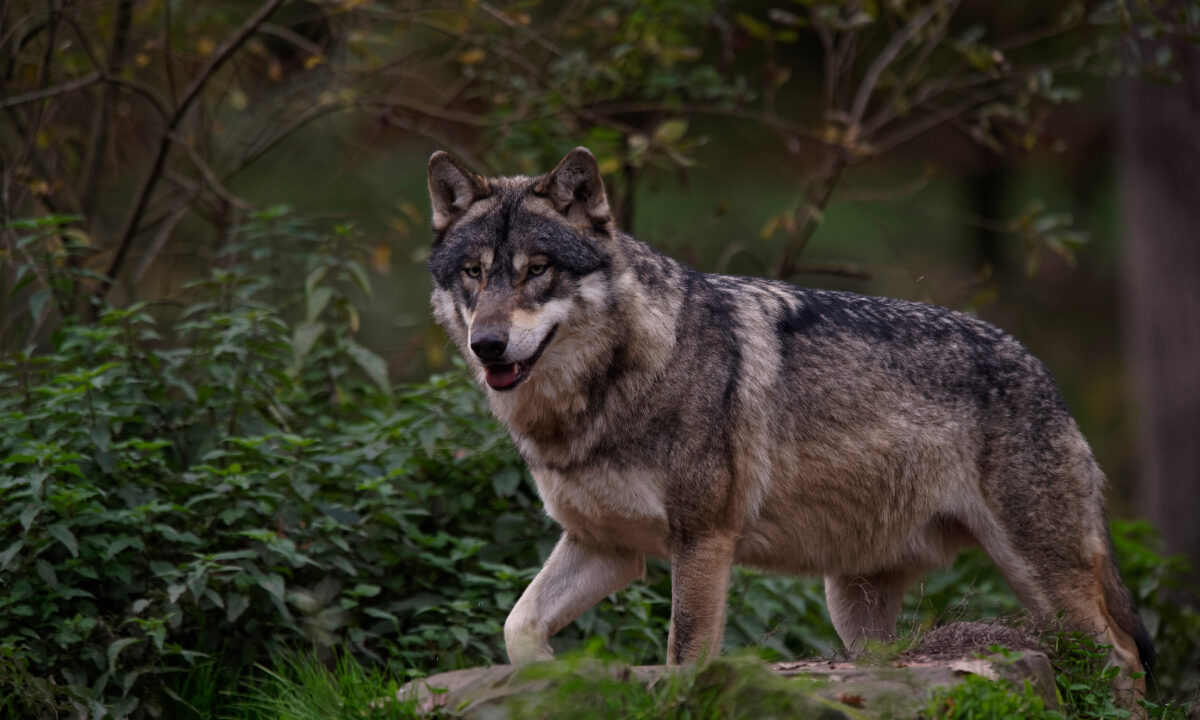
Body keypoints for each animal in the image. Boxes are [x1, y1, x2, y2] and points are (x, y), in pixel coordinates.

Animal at [424, 147, 1152, 691]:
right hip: (854, 607)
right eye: (474, 273)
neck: (614, 382)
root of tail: (1043, 371)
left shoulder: (704, 540)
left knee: (1121, 657)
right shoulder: (605, 547)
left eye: (537, 270)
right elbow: (518, 627)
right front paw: (548, 677)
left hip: (1040, 577)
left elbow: (684, 657)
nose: (487, 345)